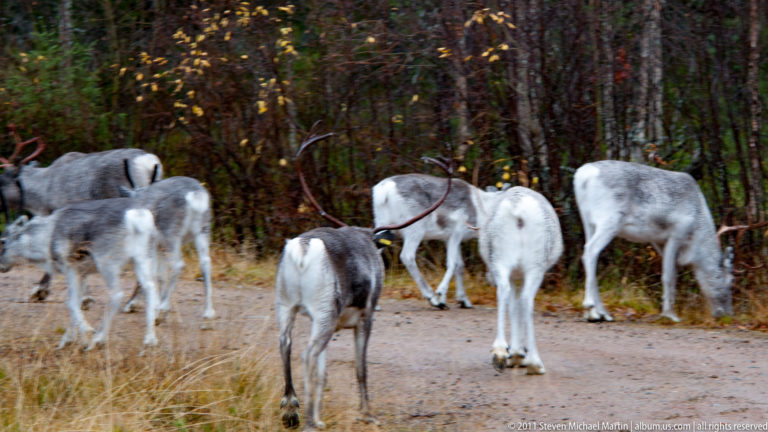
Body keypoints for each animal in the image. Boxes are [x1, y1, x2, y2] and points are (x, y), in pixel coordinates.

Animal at [0, 197, 161, 350]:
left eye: (3, 241)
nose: (1, 266)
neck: (45, 237)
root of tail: (137, 217)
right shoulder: (82, 273)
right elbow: (77, 302)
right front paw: (67, 341)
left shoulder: (70, 269)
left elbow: (71, 302)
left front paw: (86, 332)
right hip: (142, 260)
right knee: (150, 288)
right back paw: (150, 340)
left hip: (107, 264)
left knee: (117, 294)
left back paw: (99, 339)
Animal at [117, 176, 215, 328]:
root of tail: (196, 195)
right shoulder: (160, 248)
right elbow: (161, 276)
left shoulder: (152, 244)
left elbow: (151, 273)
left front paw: (135, 305)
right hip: (203, 230)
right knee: (206, 263)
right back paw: (208, 315)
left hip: (170, 233)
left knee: (178, 265)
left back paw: (162, 311)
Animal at [276, 132, 453, 430]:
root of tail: (303, 251)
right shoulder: (366, 315)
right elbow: (361, 367)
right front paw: (367, 413)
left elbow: (323, 374)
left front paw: (321, 415)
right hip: (324, 311)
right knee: (306, 354)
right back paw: (306, 418)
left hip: (286, 305)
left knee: (285, 344)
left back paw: (292, 410)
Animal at [479, 187, 563, 375]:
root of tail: (516, 209)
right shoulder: (520, 276)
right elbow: (517, 307)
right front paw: (518, 355)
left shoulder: (513, 276)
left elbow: (512, 306)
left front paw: (514, 355)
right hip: (534, 268)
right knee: (526, 300)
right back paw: (535, 364)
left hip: (501, 262)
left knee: (502, 292)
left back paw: (500, 353)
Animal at [573, 160, 734, 323]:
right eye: (729, 280)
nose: (726, 314)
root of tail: (583, 175)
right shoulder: (677, 233)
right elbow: (669, 277)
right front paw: (670, 314)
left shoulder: (658, 241)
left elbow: (671, 273)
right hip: (610, 220)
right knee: (591, 251)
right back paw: (591, 308)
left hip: (588, 221)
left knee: (589, 253)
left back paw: (601, 313)